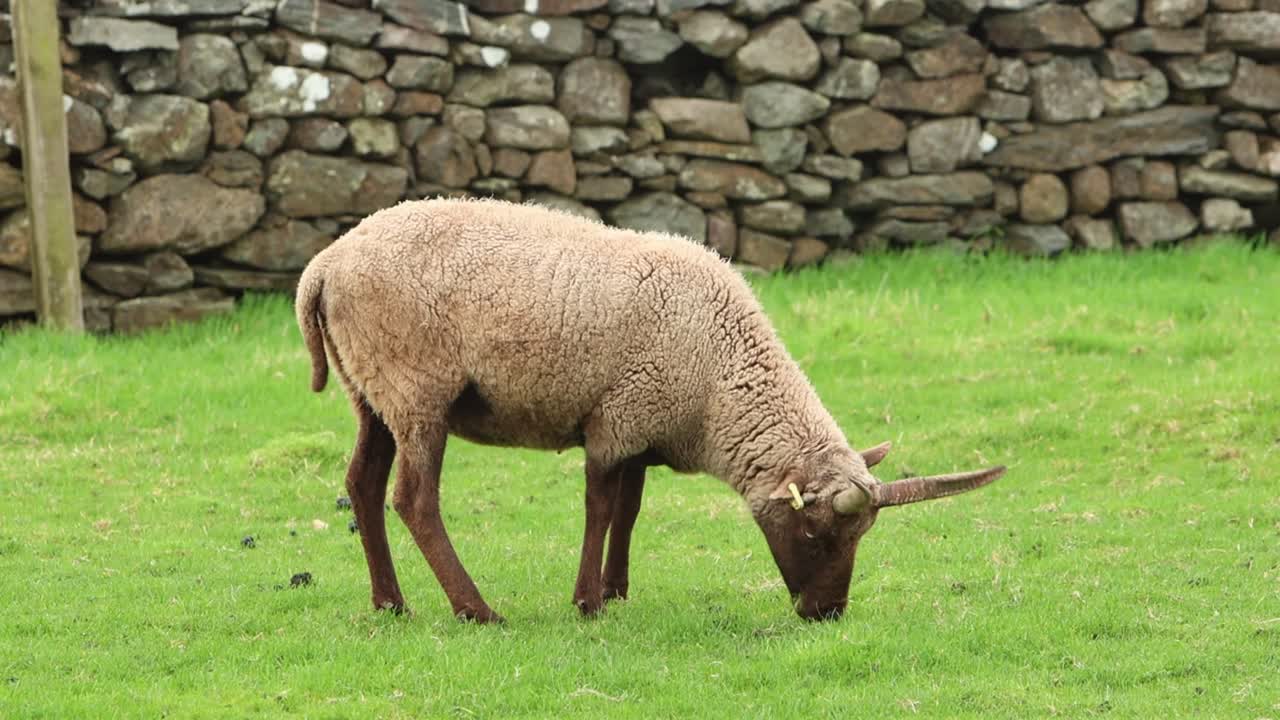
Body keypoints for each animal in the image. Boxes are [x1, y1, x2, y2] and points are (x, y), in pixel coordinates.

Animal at [295, 197, 1005, 623]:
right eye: (816, 534)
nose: (824, 614)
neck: (720, 385)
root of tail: (323, 266)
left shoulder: (643, 426)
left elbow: (629, 512)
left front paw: (616, 592)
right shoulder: (615, 419)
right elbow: (598, 508)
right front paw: (587, 603)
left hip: (372, 392)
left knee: (362, 485)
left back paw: (390, 604)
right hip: (416, 388)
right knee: (414, 500)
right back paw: (477, 611)